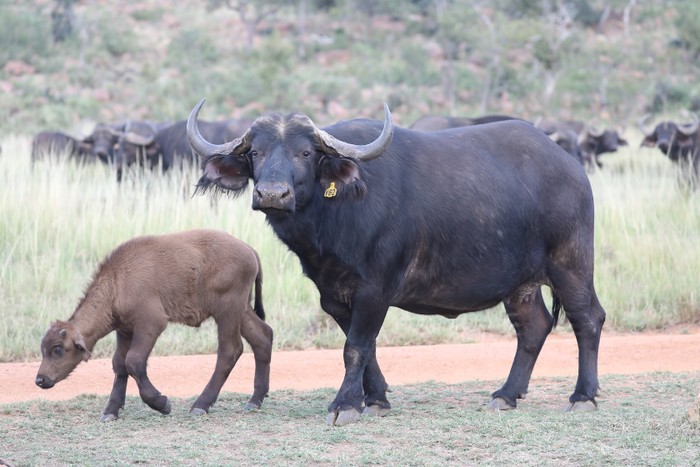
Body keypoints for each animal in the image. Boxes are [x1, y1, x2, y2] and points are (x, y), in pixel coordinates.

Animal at [35, 229, 273, 422]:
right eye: (43, 349)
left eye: (58, 349)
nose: (40, 379)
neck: (118, 281)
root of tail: (250, 250)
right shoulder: (125, 330)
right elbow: (119, 365)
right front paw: (111, 411)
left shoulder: (151, 324)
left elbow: (133, 362)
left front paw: (162, 403)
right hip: (242, 311)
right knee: (263, 337)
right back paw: (254, 401)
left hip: (227, 312)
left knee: (230, 350)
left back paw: (200, 405)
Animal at [187, 99, 606, 426]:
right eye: (254, 152)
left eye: (305, 152)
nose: (273, 194)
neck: (337, 212)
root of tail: (572, 167)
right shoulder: (334, 295)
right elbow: (365, 347)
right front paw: (375, 400)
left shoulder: (375, 290)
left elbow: (356, 346)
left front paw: (345, 405)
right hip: (520, 284)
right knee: (533, 327)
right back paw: (506, 394)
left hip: (571, 264)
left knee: (588, 318)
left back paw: (582, 397)